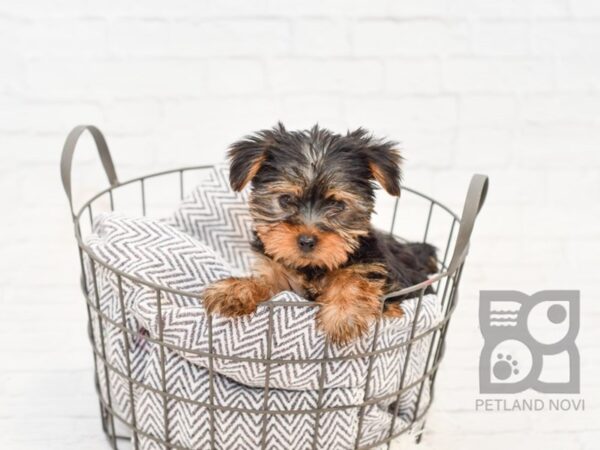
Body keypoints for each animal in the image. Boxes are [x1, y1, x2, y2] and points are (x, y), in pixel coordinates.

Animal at [204, 123, 438, 344]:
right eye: (286, 200)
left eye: (337, 205)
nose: (307, 241)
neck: (313, 267)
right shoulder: (281, 276)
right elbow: (270, 285)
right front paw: (236, 289)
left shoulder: (377, 269)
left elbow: (354, 279)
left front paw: (343, 314)